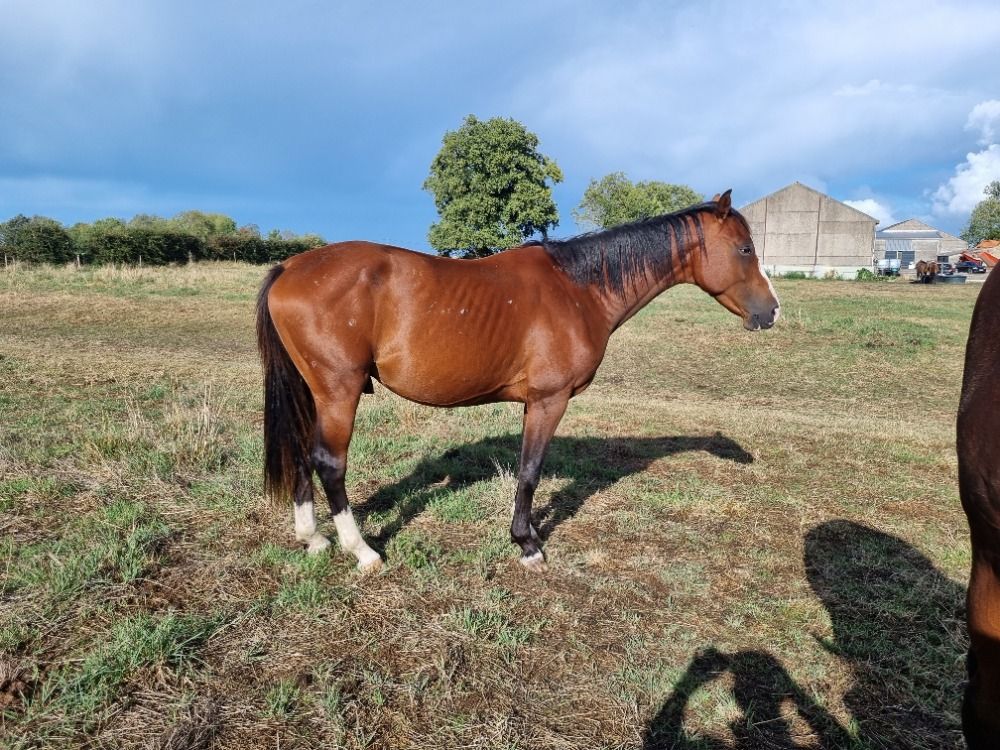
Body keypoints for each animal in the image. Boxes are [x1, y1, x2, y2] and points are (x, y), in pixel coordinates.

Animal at [256, 190, 780, 572]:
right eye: (745, 249)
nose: (772, 312)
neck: (579, 288)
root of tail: (290, 266)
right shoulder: (550, 400)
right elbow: (530, 471)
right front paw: (527, 544)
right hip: (339, 391)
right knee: (330, 463)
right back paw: (361, 551)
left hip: (314, 393)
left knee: (301, 453)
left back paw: (313, 538)